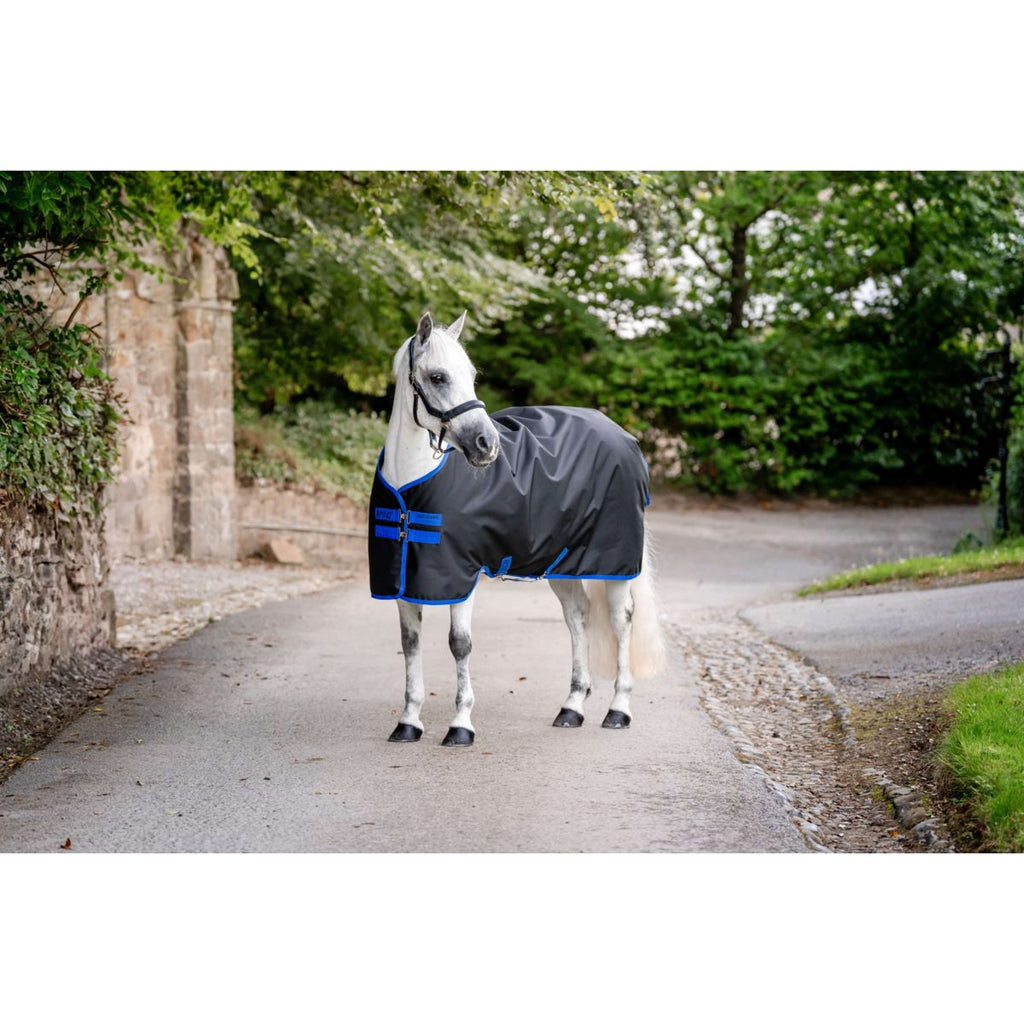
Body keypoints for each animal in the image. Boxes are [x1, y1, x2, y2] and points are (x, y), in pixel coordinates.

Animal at [368, 311, 665, 747]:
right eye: (438, 377)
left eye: (472, 374)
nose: (486, 444)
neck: (411, 487)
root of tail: (625, 437)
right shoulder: (405, 579)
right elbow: (410, 645)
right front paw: (408, 722)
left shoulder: (462, 576)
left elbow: (460, 644)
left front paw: (461, 725)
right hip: (563, 563)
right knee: (578, 617)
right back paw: (572, 707)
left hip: (614, 562)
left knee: (620, 619)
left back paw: (618, 709)